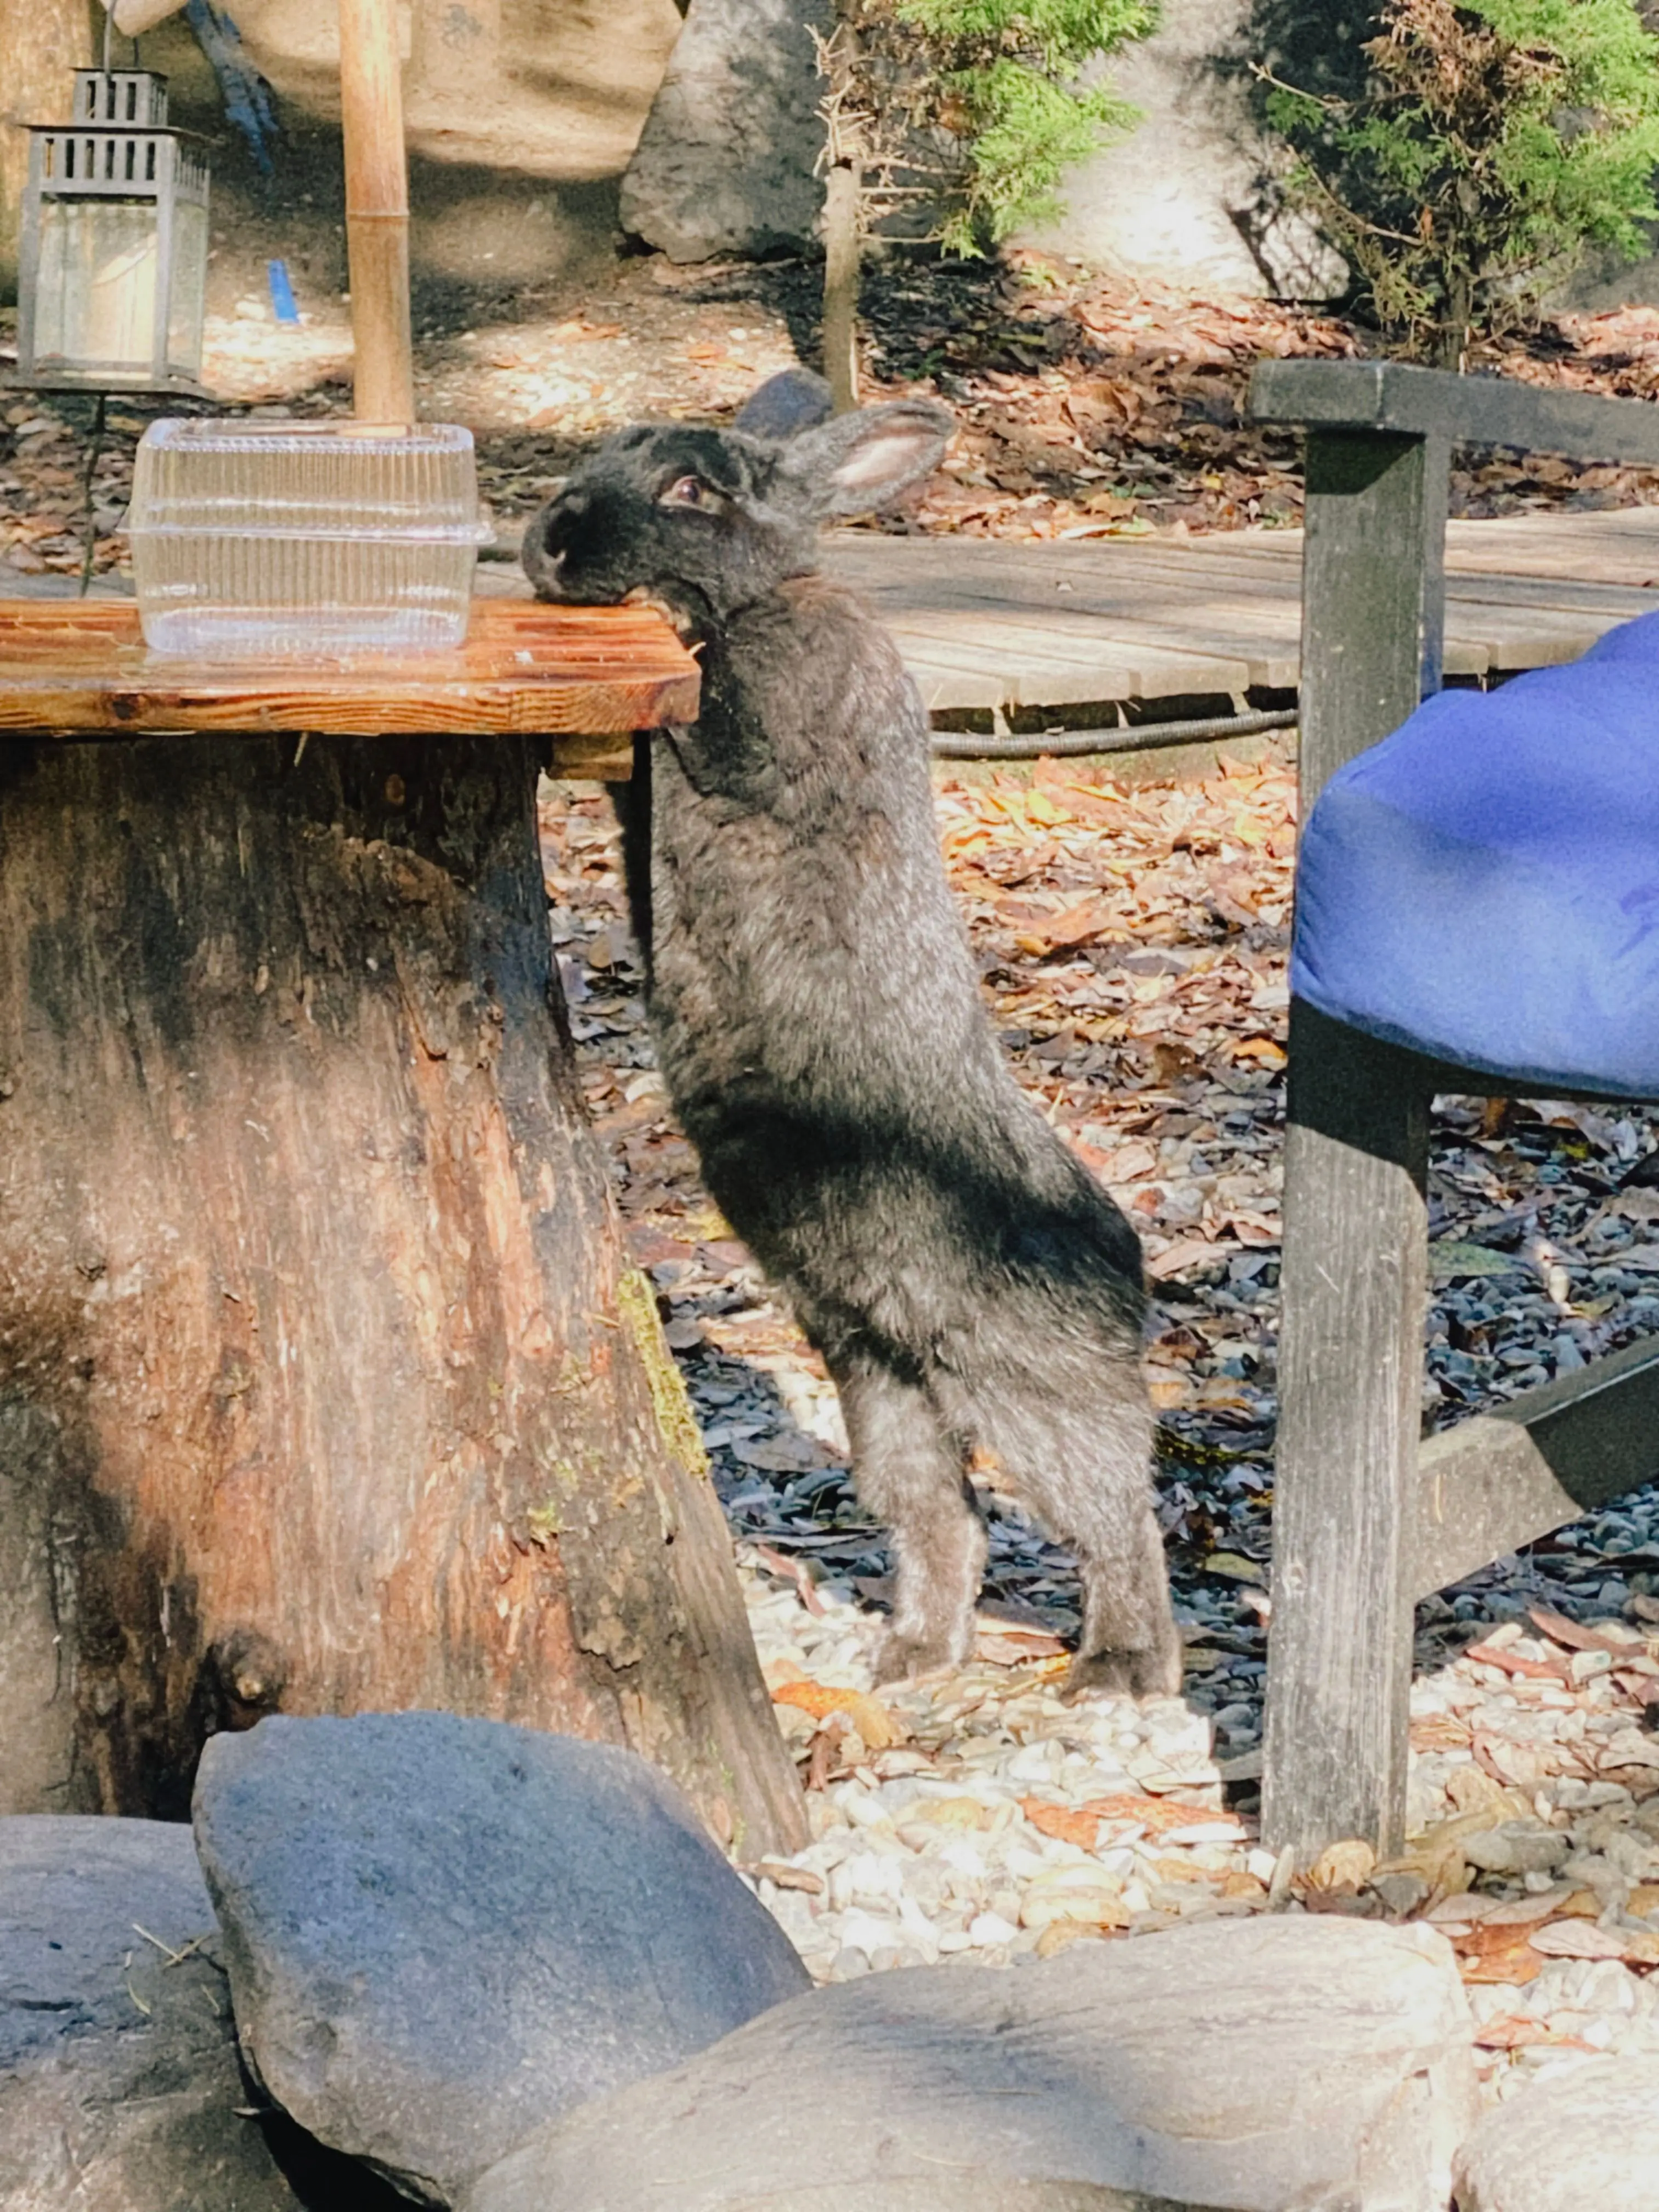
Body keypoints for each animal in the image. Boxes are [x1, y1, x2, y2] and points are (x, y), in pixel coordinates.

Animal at [522, 372, 1182, 1696]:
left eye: (692, 490)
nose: (554, 540)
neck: (761, 598)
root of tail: (1122, 1264)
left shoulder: (759, 728)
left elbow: (712, 718)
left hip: (1021, 1384)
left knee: (1114, 1518)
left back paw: (1120, 1669)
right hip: (881, 1375)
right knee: (944, 1517)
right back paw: (912, 1660)